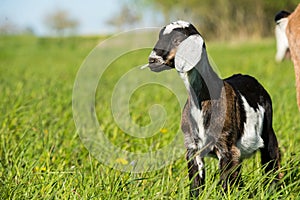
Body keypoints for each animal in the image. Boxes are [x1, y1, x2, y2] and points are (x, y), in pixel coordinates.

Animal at [146, 20, 282, 197]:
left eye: (176, 40)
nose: (152, 60)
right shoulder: (193, 148)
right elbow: (196, 185)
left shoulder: (226, 148)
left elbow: (225, 184)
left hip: (268, 133)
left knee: (272, 163)